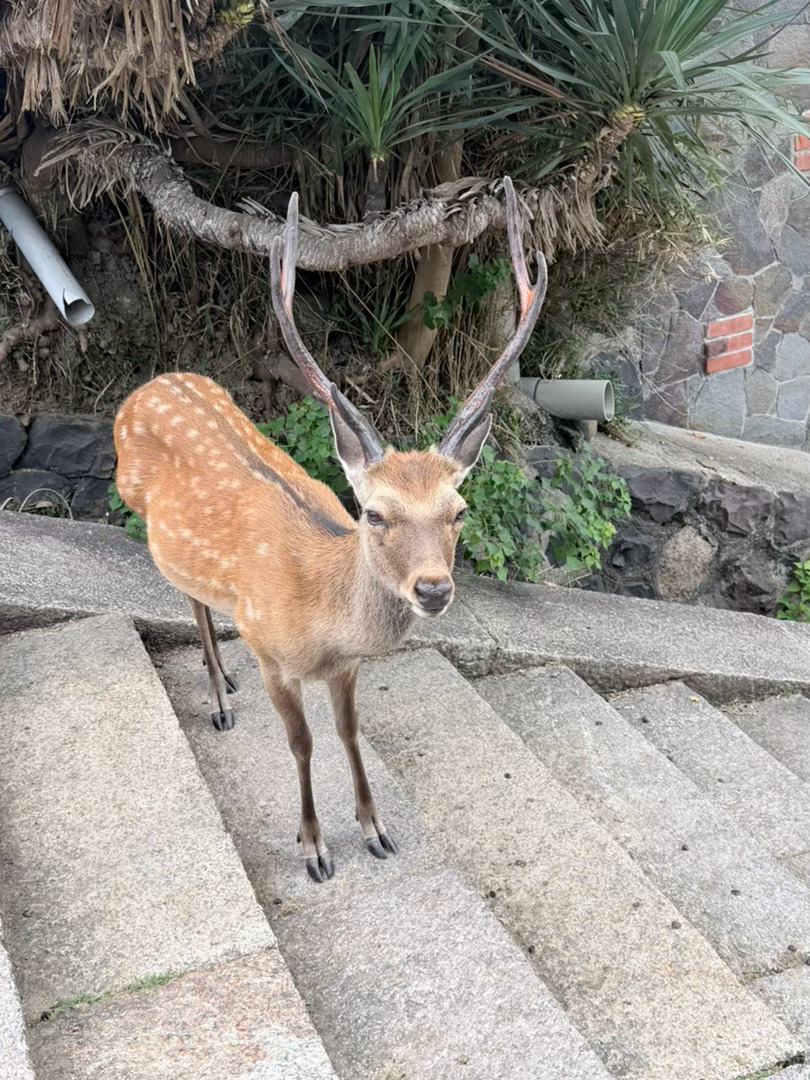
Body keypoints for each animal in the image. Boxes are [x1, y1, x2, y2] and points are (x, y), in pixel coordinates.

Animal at [113, 177, 546, 883]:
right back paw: (220, 696)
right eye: (374, 513)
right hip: (140, 509)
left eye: (458, 511)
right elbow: (302, 742)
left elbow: (347, 732)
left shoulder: (346, 668)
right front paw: (313, 847)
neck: (321, 622)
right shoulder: (270, 651)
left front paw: (374, 828)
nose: (433, 590)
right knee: (189, 597)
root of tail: (146, 386)